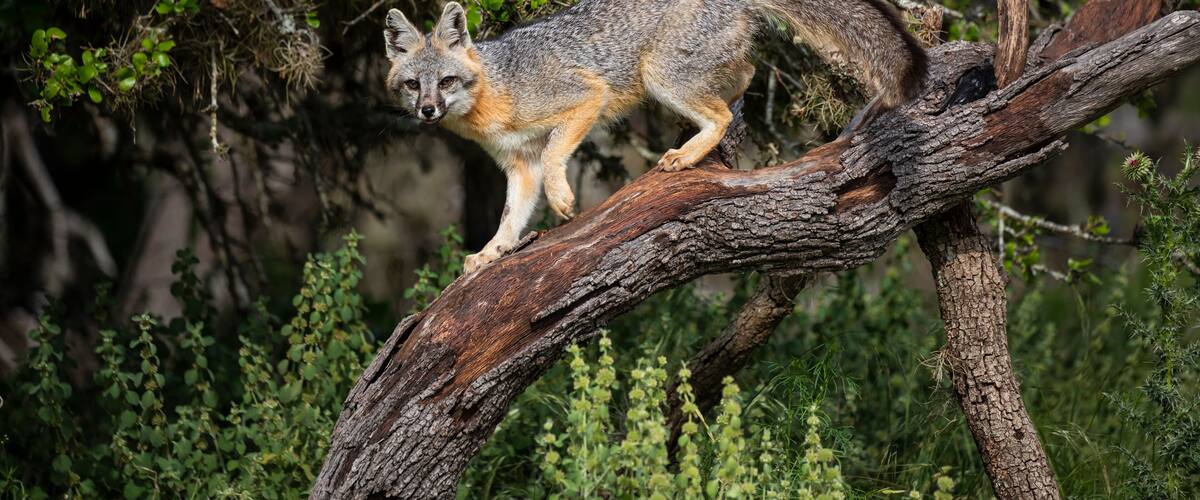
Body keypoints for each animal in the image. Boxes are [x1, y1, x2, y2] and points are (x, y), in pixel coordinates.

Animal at [383, 0, 928, 274]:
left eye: (446, 82)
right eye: (413, 85)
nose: (427, 110)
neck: (496, 91)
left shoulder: (585, 96)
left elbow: (558, 151)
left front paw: (563, 199)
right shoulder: (518, 166)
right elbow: (510, 219)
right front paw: (493, 253)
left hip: (660, 76)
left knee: (722, 109)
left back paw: (687, 156)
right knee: (747, 72)